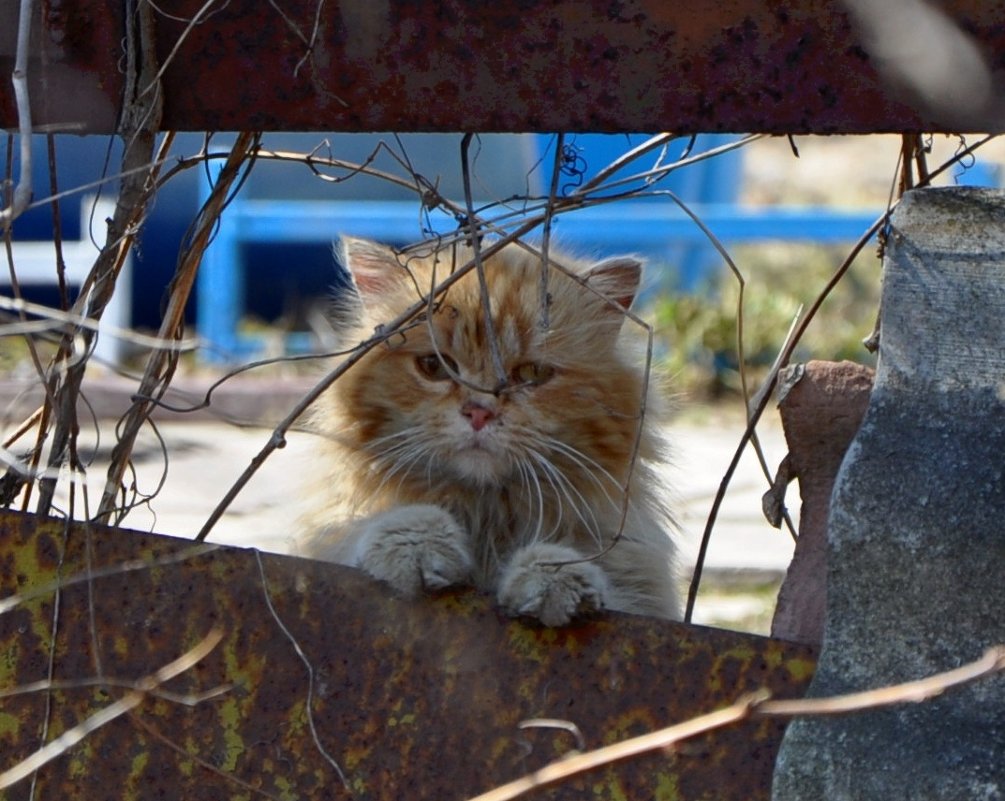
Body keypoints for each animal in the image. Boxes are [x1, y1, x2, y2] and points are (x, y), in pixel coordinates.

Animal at [295, 237, 675, 623]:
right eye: (434, 366)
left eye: (533, 374)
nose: (479, 412)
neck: (486, 519)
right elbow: (369, 529)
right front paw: (417, 541)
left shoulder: (643, 589)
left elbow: (599, 579)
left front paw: (553, 576)